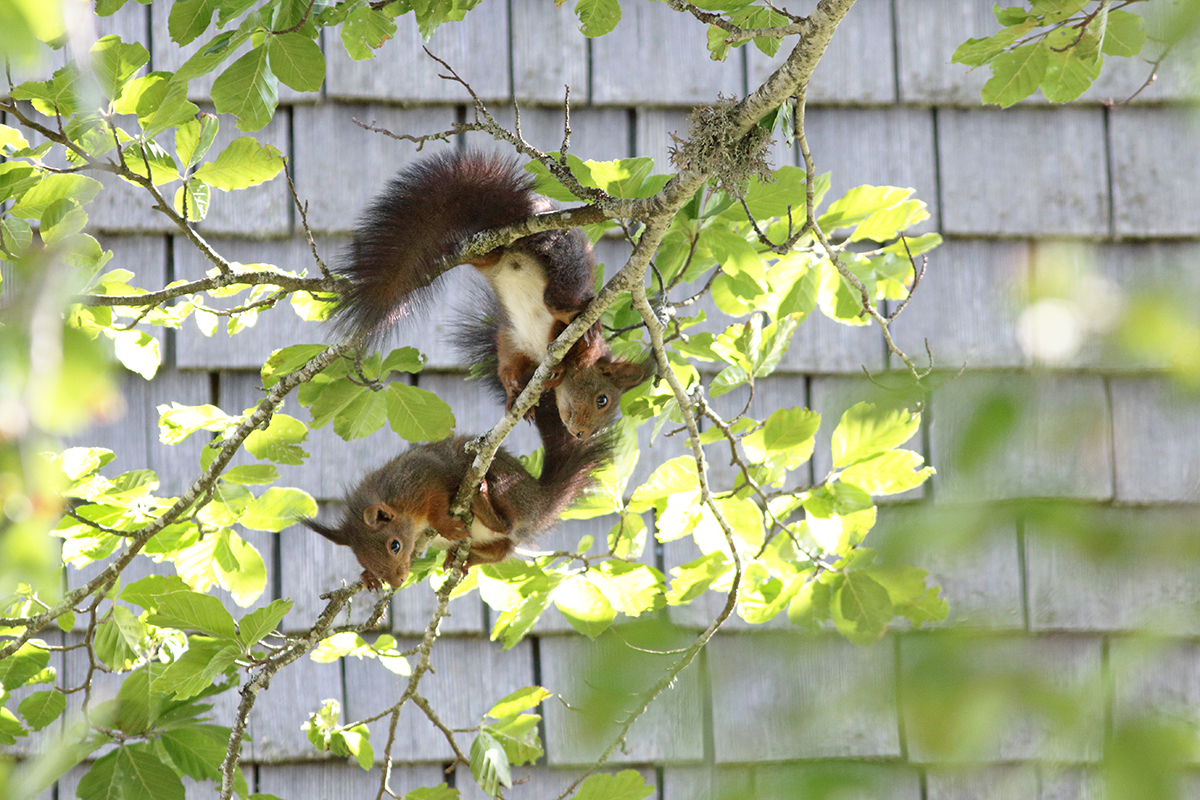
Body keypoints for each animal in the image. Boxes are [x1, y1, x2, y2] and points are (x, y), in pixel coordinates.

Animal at [300, 398, 609, 592]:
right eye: (361, 560)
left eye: (395, 546)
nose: (397, 583)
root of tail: (540, 499)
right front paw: (367, 578)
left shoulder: (424, 479)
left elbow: (437, 505)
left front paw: (446, 526)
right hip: (500, 538)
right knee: (501, 550)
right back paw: (461, 558)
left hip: (506, 487)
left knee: (504, 524)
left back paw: (481, 501)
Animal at [328, 149, 652, 438]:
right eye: (602, 400)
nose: (582, 435)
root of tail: (527, 215)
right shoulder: (570, 345)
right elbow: (571, 347)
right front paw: (558, 370)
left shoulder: (512, 342)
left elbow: (507, 366)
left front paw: (515, 392)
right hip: (562, 260)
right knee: (558, 303)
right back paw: (577, 312)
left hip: (494, 254)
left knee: (486, 256)